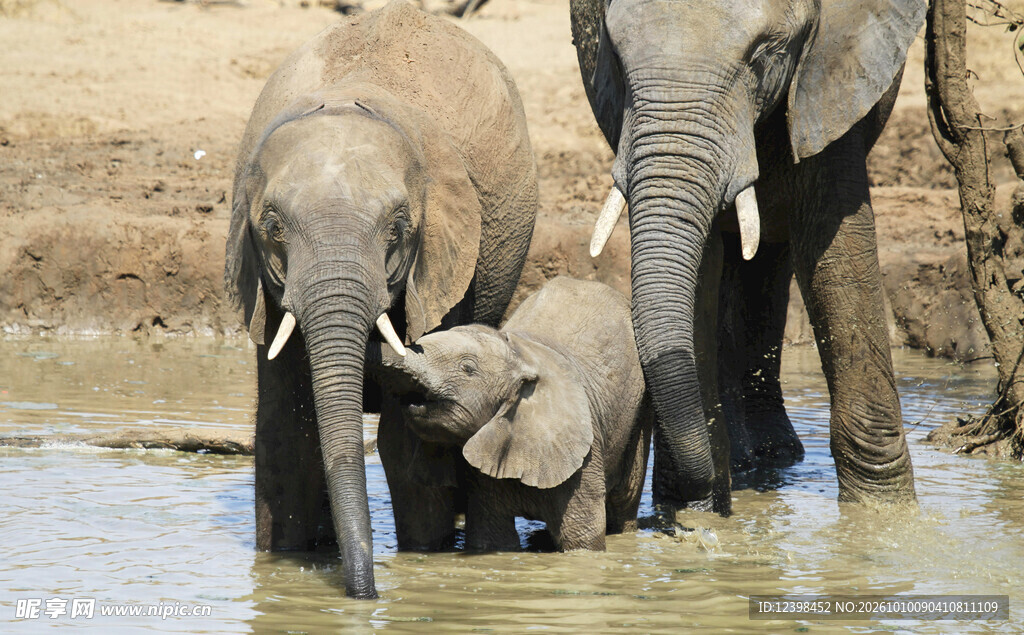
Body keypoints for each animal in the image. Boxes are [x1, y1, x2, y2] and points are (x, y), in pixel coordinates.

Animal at [224, 1, 537, 598]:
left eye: (397, 230)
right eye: (273, 228)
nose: (364, 594)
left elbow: (406, 437)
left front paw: (422, 557)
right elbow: (285, 431)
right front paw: (285, 566)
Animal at [369, 277, 653, 551]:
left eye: (467, 368)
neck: (521, 357)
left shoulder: (584, 455)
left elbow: (582, 540)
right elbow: (493, 538)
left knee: (624, 500)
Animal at [570, 0, 923, 512]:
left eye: (762, 56)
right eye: (614, 55)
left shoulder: (830, 74)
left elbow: (833, 243)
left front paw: (884, 516)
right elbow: (706, 263)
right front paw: (697, 506)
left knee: (769, 259)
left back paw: (776, 457)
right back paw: (748, 462)